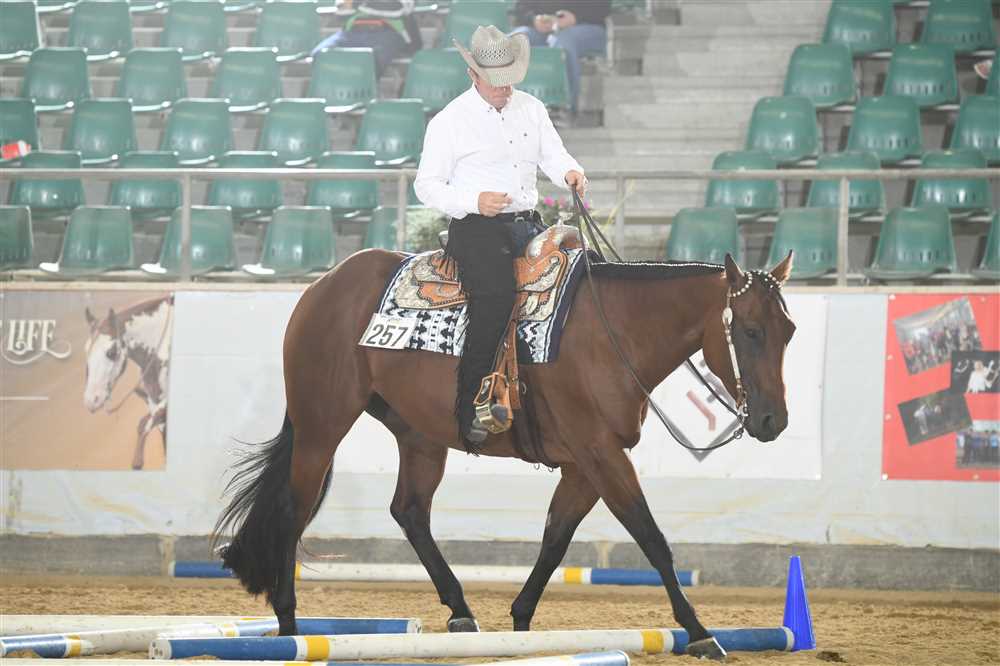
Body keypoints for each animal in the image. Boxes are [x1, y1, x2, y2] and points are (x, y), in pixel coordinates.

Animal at [214, 247, 795, 661]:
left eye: (788, 331)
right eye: (749, 330)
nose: (773, 421)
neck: (613, 334)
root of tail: (325, 284)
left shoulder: (584, 465)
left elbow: (555, 540)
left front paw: (519, 621)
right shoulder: (602, 454)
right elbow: (652, 538)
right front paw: (699, 632)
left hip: (420, 436)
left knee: (409, 511)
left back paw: (461, 612)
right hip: (322, 425)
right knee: (293, 512)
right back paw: (289, 627)